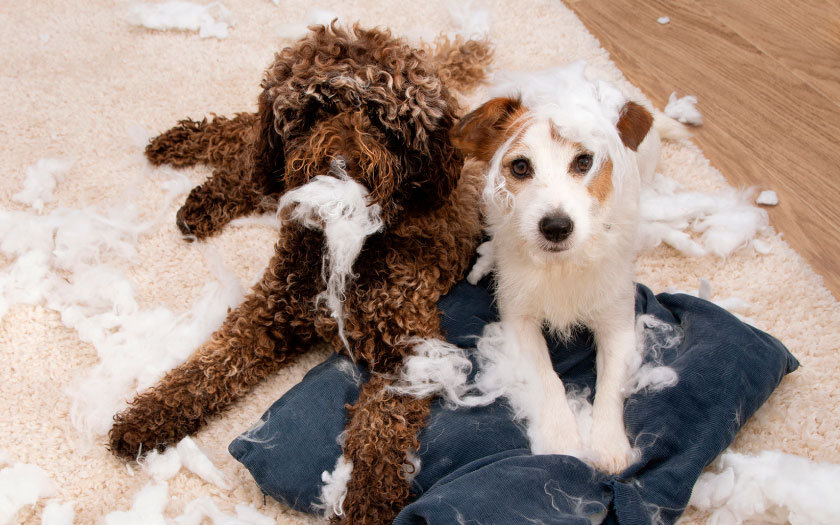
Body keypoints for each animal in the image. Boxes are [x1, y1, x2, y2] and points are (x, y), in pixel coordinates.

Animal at [110, 22, 492, 520]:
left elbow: (382, 429)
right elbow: (208, 368)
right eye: (315, 111)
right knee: (246, 139)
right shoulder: (270, 311)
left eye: (380, 119)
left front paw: (366, 499)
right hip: (268, 161)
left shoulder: (412, 348)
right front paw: (147, 416)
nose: (340, 165)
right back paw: (185, 158)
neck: (347, 245)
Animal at [452, 63, 676, 472]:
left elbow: (611, 385)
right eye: (520, 166)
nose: (556, 227)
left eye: (584, 162)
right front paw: (561, 437)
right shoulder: (519, 319)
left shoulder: (618, 324)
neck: (560, 266)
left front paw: (608, 444)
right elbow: (546, 376)